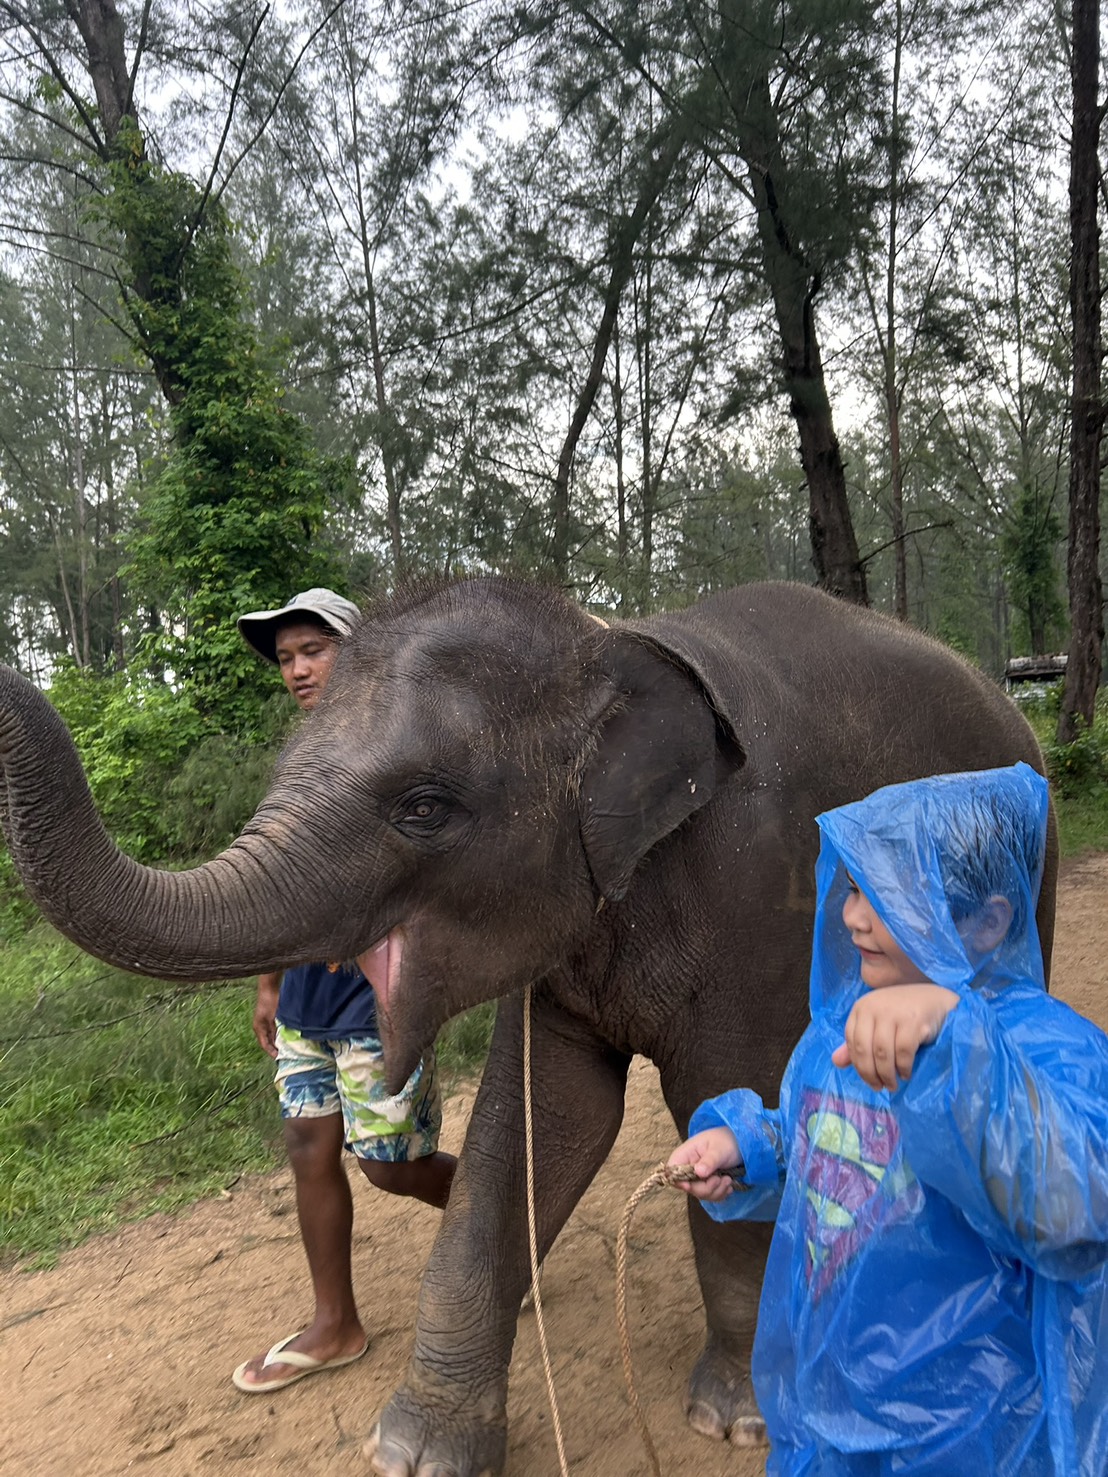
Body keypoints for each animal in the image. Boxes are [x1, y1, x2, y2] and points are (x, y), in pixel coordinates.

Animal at [0, 578, 1055, 1477]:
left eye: (425, 806)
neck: (608, 640)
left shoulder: (762, 885)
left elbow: (726, 1096)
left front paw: (736, 1418)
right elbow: (539, 1123)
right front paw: (416, 1450)